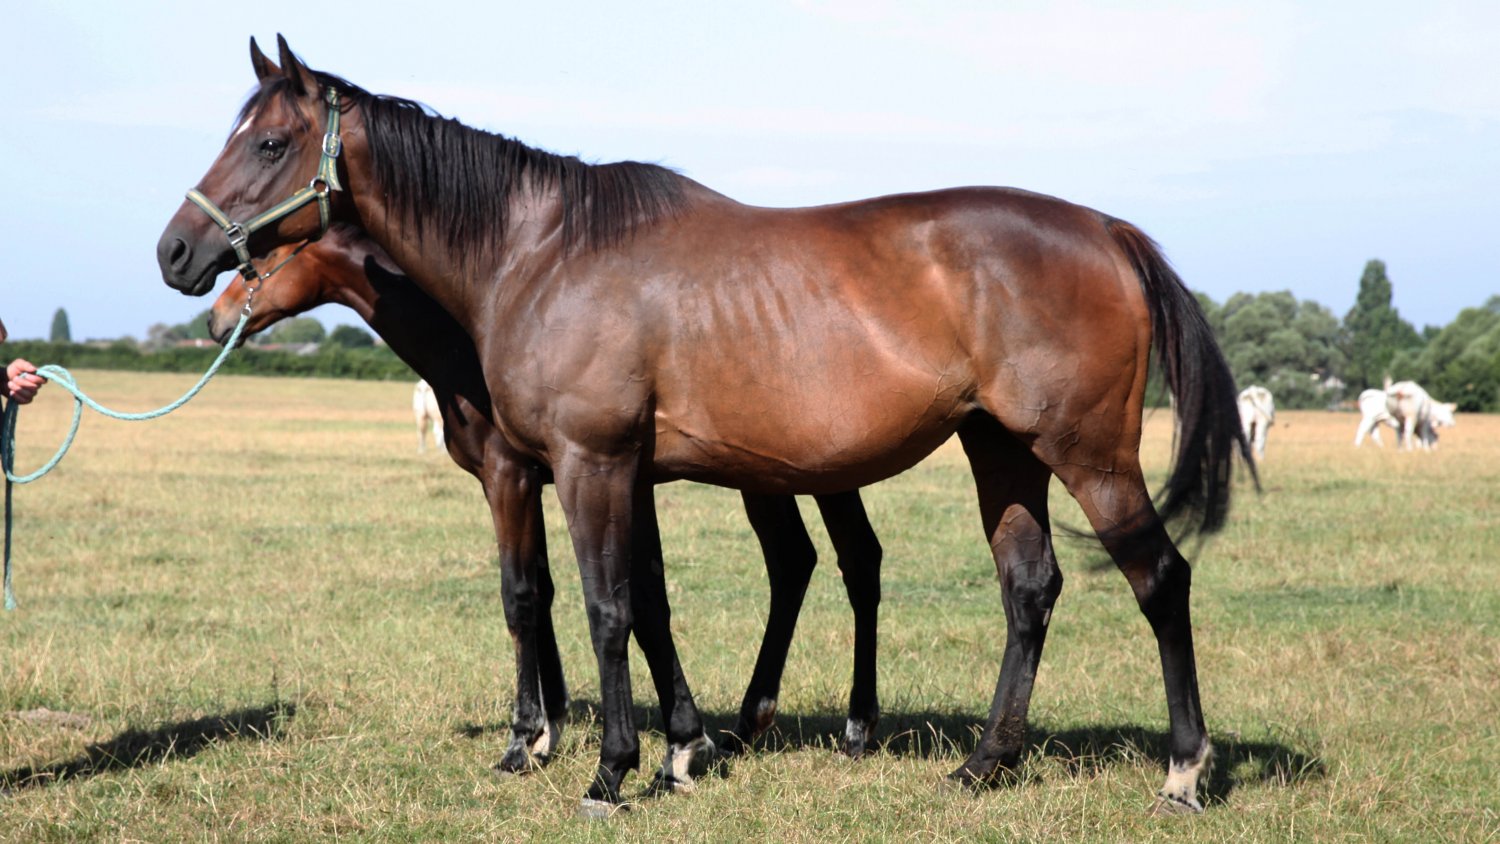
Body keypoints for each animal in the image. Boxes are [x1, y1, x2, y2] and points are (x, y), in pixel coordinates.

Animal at [205, 225, 887, 770]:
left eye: (264, 257)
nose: (217, 318)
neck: (468, 338)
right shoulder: (537, 481)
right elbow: (553, 588)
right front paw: (555, 725)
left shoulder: (512, 476)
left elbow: (531, 595)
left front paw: (532, 736)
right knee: (815, 560)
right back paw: (772, 725)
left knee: (832, 560)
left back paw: (844, 729)